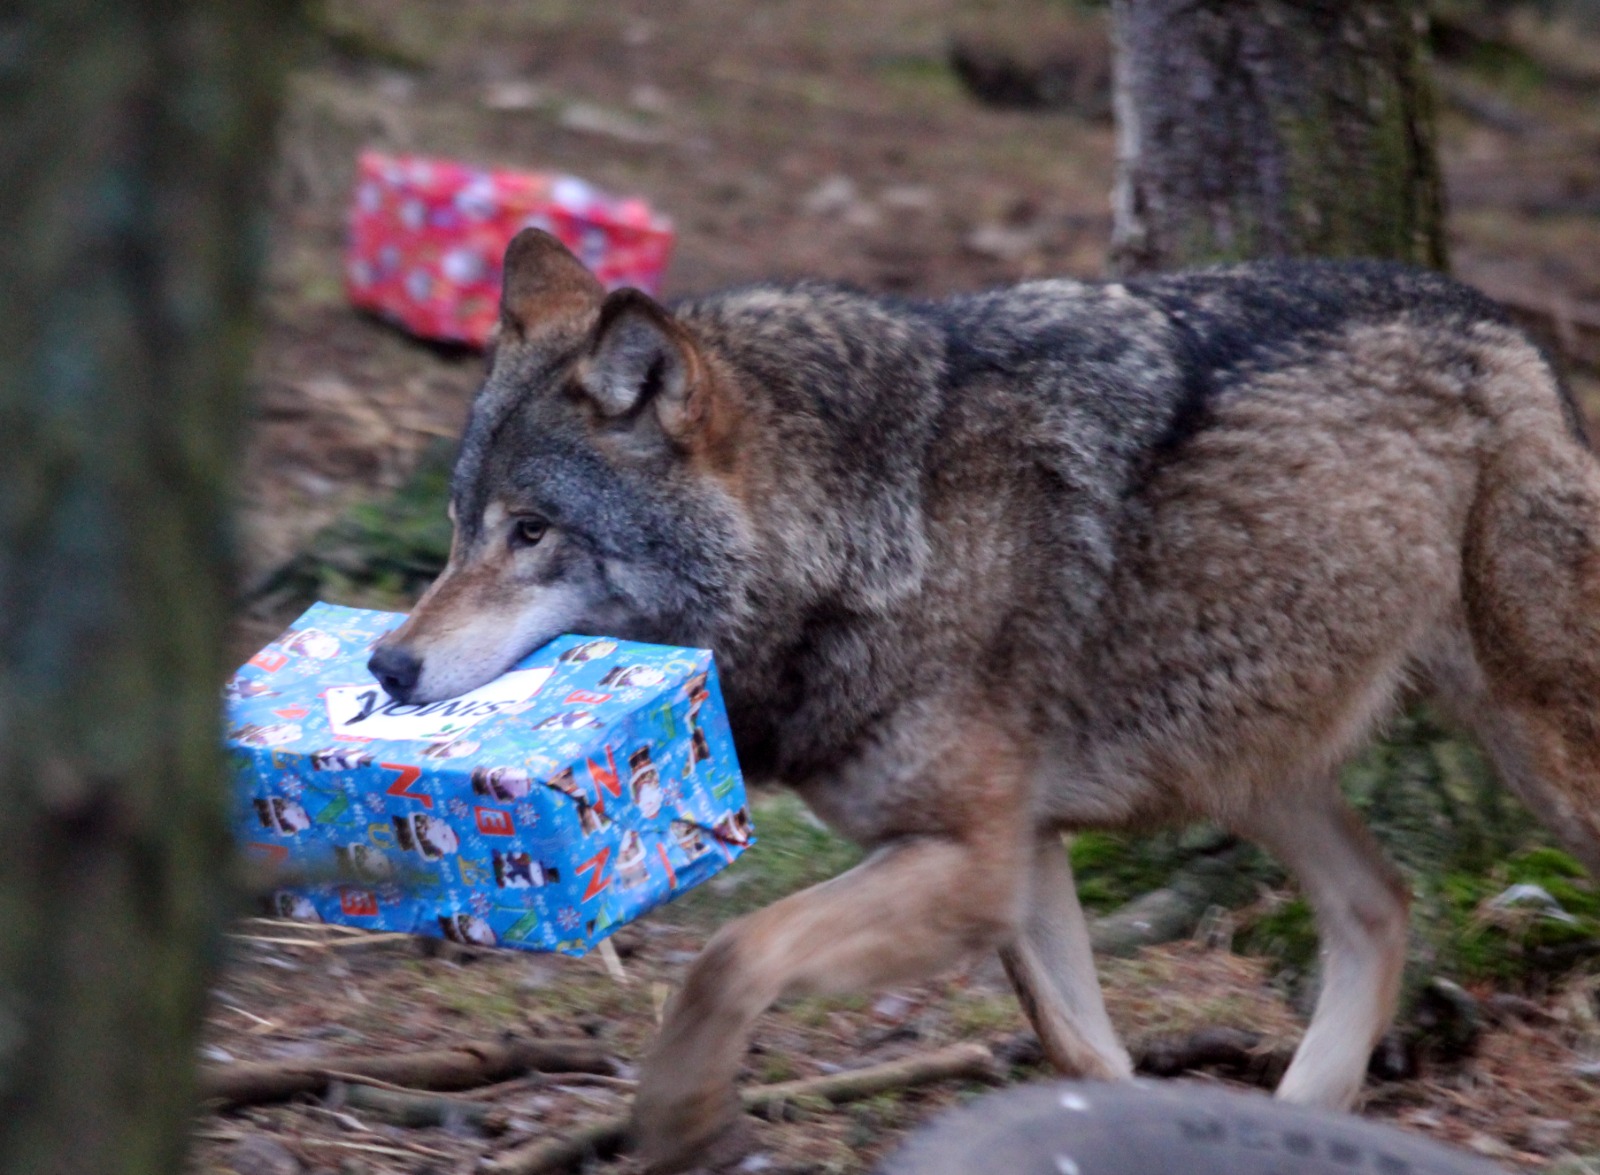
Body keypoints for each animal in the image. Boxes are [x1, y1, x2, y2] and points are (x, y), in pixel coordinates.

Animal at [368, 228, 1600, 1171]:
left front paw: (684, 1127)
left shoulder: (972, 861)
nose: (387, 667)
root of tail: (1504, 324)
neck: (866, 536)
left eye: (533, 531)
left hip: (1527, 748)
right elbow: (1083, 1055)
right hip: (1245, 756)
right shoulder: (1020, 858)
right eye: (460, 526)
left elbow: (731, 955)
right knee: (1380, 900)